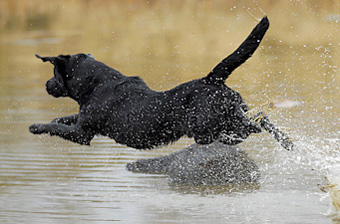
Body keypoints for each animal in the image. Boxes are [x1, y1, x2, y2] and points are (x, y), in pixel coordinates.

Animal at [29, 16, 268, 149]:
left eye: (54, 72)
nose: (47, 84)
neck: (95, 85)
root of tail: (211, 79)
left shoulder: (82, 134)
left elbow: (55, 127)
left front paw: (36, 126)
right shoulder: (83, 121)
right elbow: (64, 119)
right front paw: (56, 118)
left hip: (209, 129)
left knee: (253, 126)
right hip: (228, 117)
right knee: (259, 118)